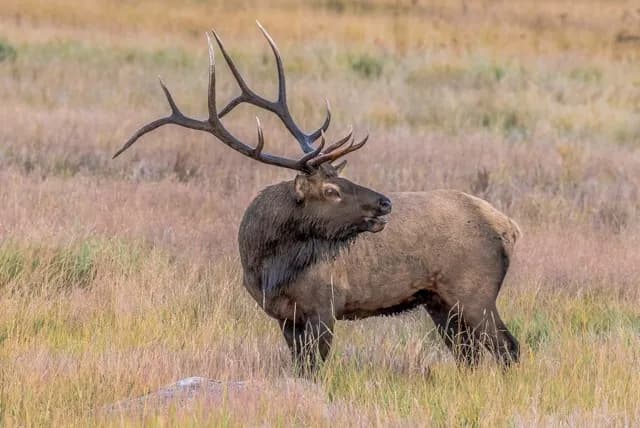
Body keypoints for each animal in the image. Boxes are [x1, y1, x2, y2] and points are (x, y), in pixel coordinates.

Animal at [113, 23, 521, 375]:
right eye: (331, 190)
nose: (385, 202)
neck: (266, 267)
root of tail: (509, 228)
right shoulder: (284, 316)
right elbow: (300, 367)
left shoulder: (324, 305)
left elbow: (315, 369)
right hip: (439, 301)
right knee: (469, 353)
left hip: (474, 292)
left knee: (507, 347)